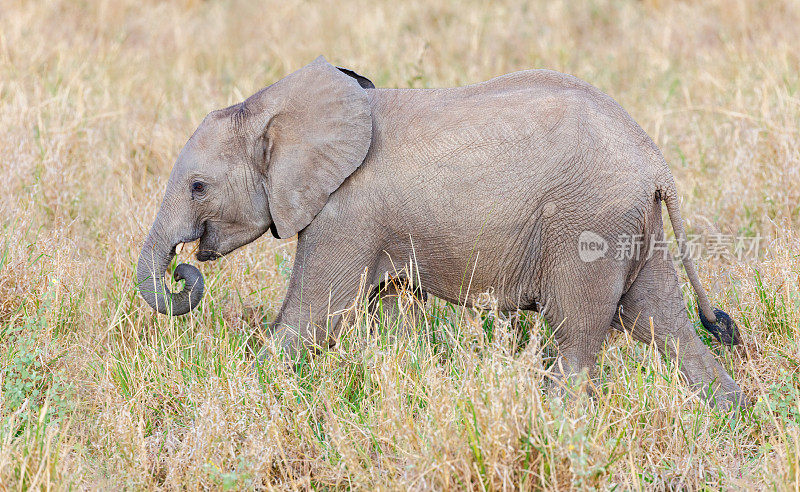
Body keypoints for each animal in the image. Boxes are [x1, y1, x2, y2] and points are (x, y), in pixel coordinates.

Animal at [136, 54, 744, 408]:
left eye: (198, 187)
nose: (184, 269)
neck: (273, 106)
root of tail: (656, 161)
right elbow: (390, 317)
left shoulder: (346, 214)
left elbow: (313, 317)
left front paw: (242, 396)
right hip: (631, 225)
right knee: (663, 320)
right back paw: (730, 416)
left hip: (587, 224)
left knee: (575, 334)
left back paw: (555, 430)